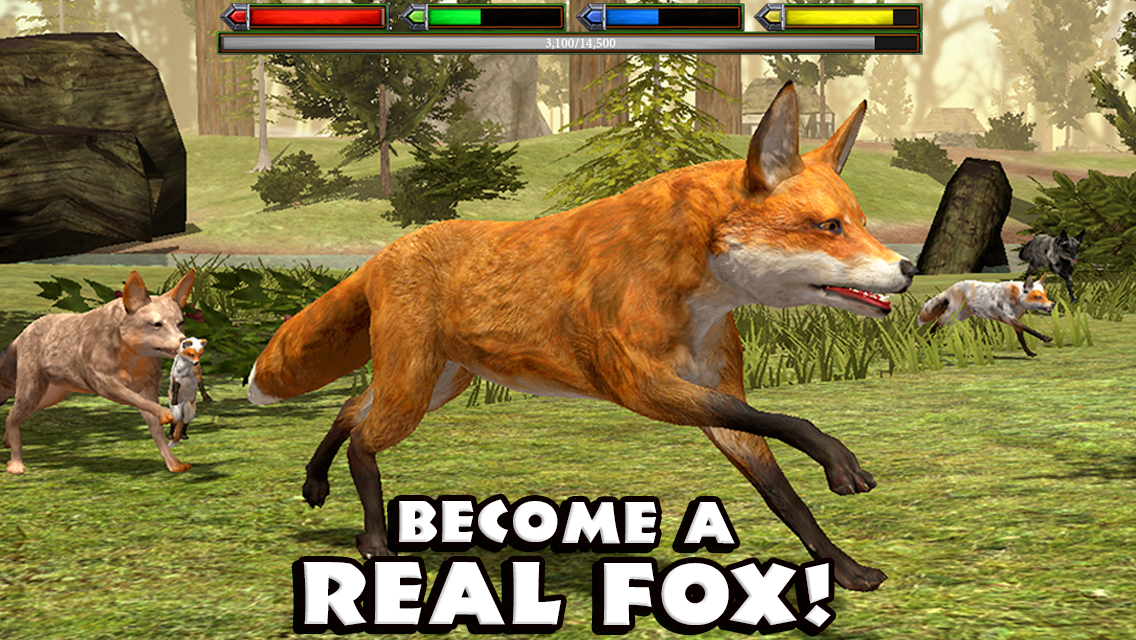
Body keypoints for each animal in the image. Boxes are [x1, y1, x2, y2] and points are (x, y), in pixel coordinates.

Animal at [1, 270, 196, 474]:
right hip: (32, 392)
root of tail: (23, 332)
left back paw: (7, 441)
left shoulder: (147, 389)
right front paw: (168, 415)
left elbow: (156, 431)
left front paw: (173, 464)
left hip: (49, 396)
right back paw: (15, 464)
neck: (132, 357)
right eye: (157, 324)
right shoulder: (107, 386)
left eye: (180, 323)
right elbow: (148, 406)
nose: (186, 344)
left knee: (11, 416)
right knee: (13, 417)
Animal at [247, 82, 916, 592]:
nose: (909, 269)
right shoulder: (643, 386)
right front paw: (839, 461)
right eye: (829, 227)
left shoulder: (715, 398)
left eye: (861, 223)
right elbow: (787, 421)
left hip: (436, 385)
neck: (692, 287)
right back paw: (376, 543)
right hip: (413, 389)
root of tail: (389, 250)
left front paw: (846, 570)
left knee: (349, 409)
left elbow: (785, 498)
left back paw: (315, 482)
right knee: (364, 440)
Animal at [917, 275, 1055, 357]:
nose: (1053, 304)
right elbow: (1030, 329)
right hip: (953, 314)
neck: (1015, 299)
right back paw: (928, 342)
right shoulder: (1009, 318)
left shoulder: (1016, 321)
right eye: (1038, 297)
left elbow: (1022, 338)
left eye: (1045, 295)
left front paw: (1029, 353)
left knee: (939, 321)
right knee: (938, 320)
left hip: (960, 316)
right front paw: (1045, 338)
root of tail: (952, 287)